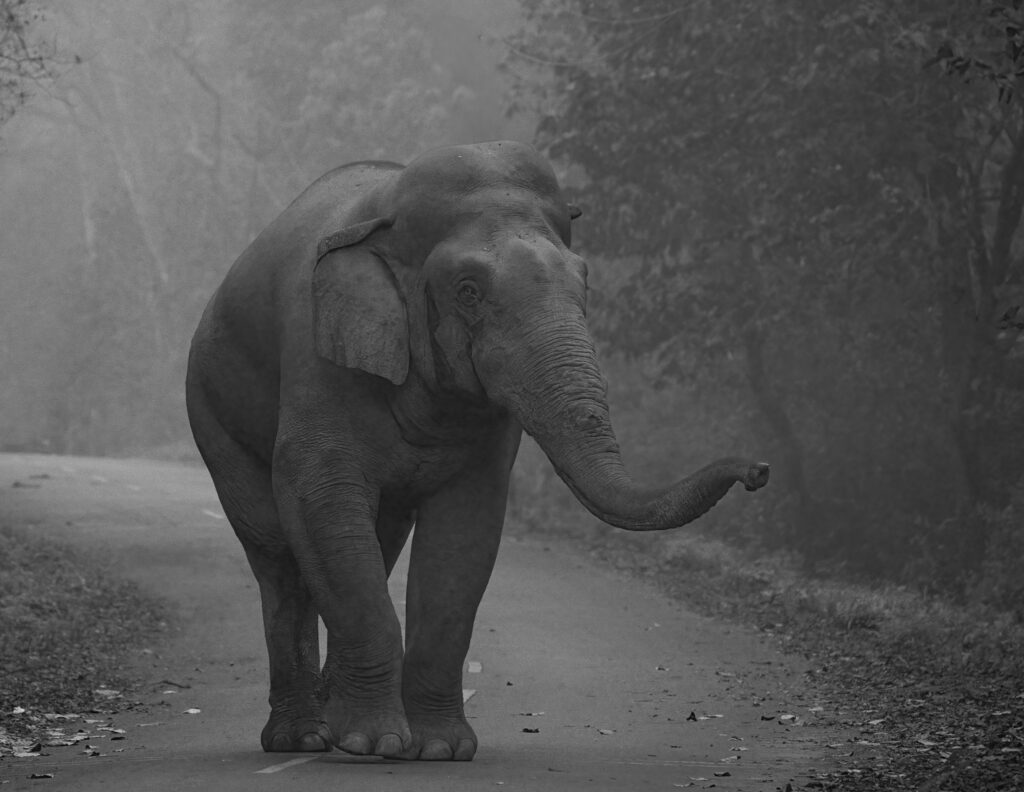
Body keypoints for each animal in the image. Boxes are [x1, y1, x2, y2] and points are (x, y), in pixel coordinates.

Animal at [185, 140, 769, 762]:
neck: (387, 212)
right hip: (211, 410)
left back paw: (330, 722)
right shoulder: (314, 355)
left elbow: (464, 533)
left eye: (585, 281)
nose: (758, 470)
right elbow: (319, 497)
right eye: (467, 290)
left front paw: (439, 750)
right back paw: (304, 738)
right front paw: (374, 743)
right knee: (279, 553)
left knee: (373, 543)